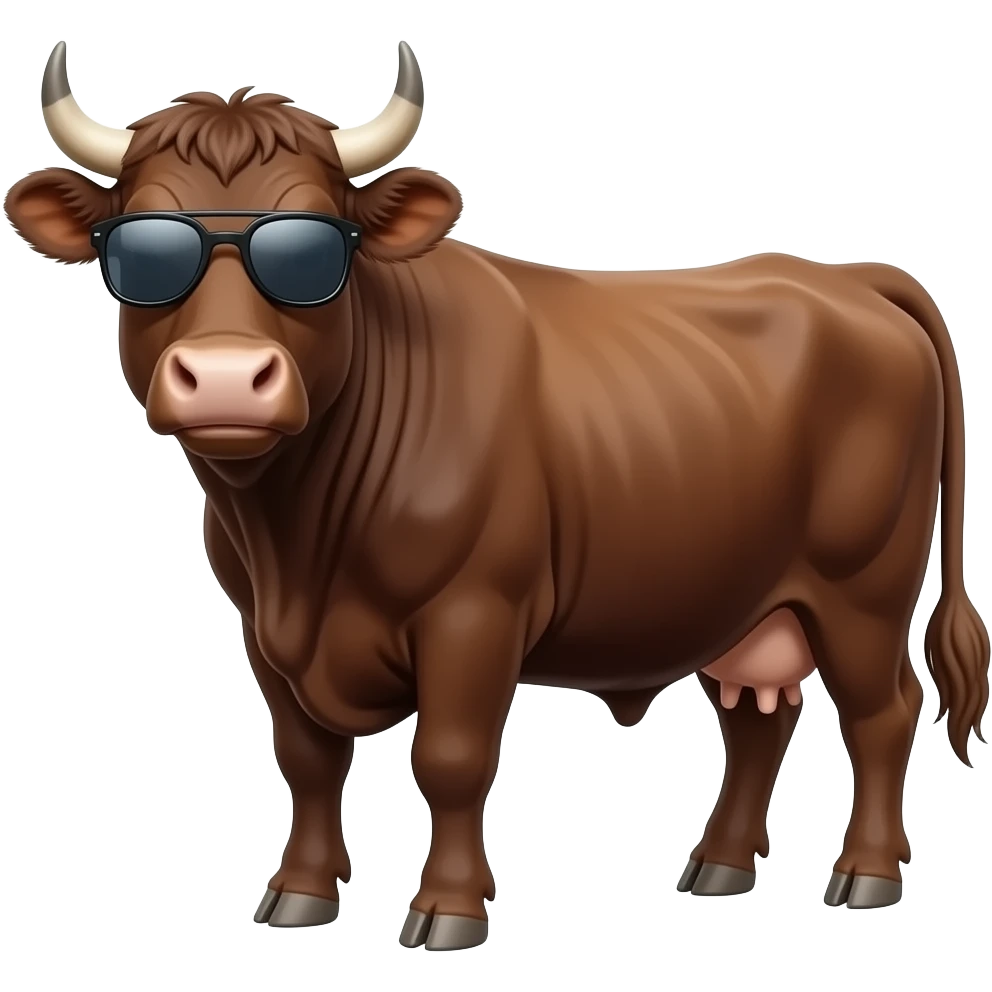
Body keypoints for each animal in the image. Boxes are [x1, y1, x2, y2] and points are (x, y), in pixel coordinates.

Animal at [4, 40, 989, 948]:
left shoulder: (474, 612)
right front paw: (300, 893)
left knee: (883, 712)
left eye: (314, 246)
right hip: (740, 595)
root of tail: (843, 275)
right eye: (141, 249)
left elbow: (450, 759)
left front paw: (446, 910)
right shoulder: (263, 629)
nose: (222, 378)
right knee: (760, 722)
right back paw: (716, 867)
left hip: (864, 590)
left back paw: (866, 876)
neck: (298, 543)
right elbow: (308, 758)